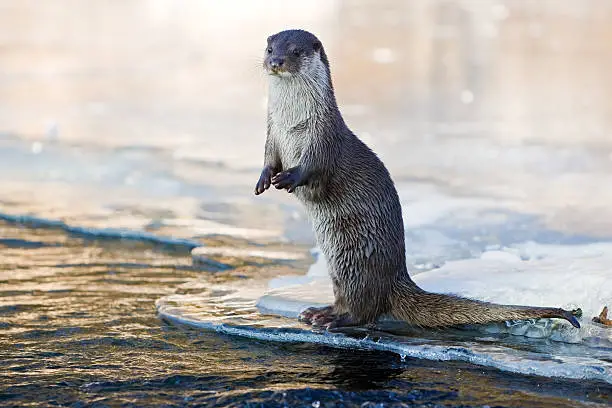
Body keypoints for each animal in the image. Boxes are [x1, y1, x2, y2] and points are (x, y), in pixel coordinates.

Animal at [253, 28, 580, 330]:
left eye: (295, 51)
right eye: (270, 48)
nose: (275, 61)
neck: (293, 125)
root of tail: (397, 277)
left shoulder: (324, 138)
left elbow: (314, 166)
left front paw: (290, 177)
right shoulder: (272, 134)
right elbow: (269, 159)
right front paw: (263, 180)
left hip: (357, 264)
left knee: (365, 309)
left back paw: (333, 320)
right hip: (337, 268)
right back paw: (317, 312)